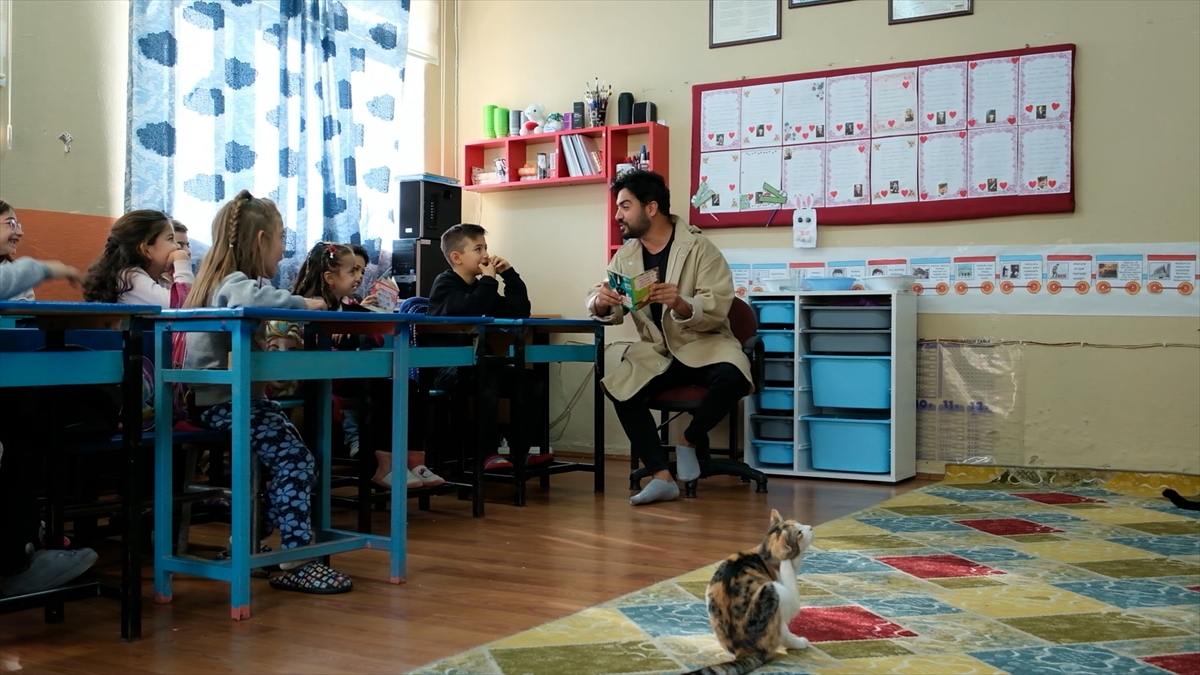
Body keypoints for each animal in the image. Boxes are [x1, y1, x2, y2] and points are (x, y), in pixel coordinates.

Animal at [685, 510, 814, 675]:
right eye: (799, 533)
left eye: (799, 523)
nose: (810, 527)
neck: (765, 554)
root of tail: (745, 650)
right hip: (772, 589)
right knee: (783, 632)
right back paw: (799, 642)